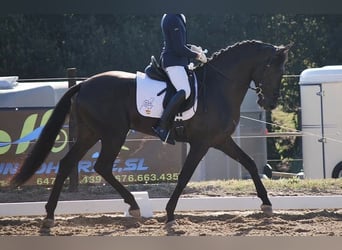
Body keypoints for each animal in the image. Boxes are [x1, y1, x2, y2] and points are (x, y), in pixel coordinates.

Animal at [10, 40, 292, 228]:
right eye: (274, 70)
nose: (269, 102)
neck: (219, 86)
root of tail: (84, 83)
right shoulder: (201, 143)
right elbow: (184, 177)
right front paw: (169, 214)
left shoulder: (221, 140)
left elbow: (250, 164)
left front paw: (267, 205)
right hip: (113, 134)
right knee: (102, 166)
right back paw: (133, 207)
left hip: (91, 133)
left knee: (69, 163)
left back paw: (50, 215)